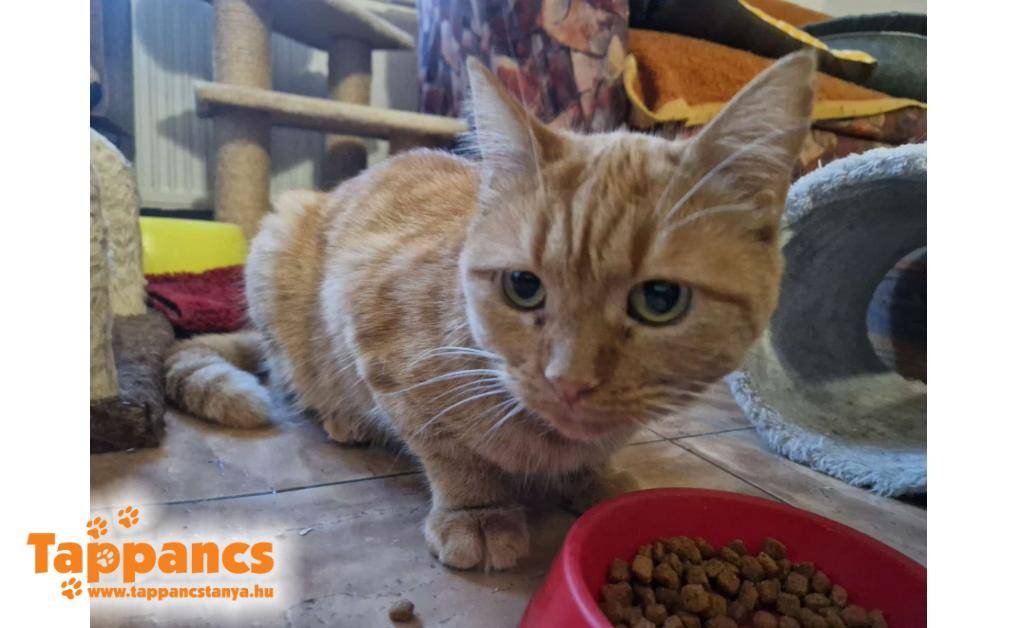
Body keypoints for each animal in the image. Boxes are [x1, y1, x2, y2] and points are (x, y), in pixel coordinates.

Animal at [165, 51, 816, 571]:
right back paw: (342, 416)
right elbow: (448, 449)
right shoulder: (380, 347)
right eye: (522, 286)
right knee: (289, 375)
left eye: (660, 300)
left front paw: (593, 478)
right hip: (279, 240)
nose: (568, 380)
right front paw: (477, 512)